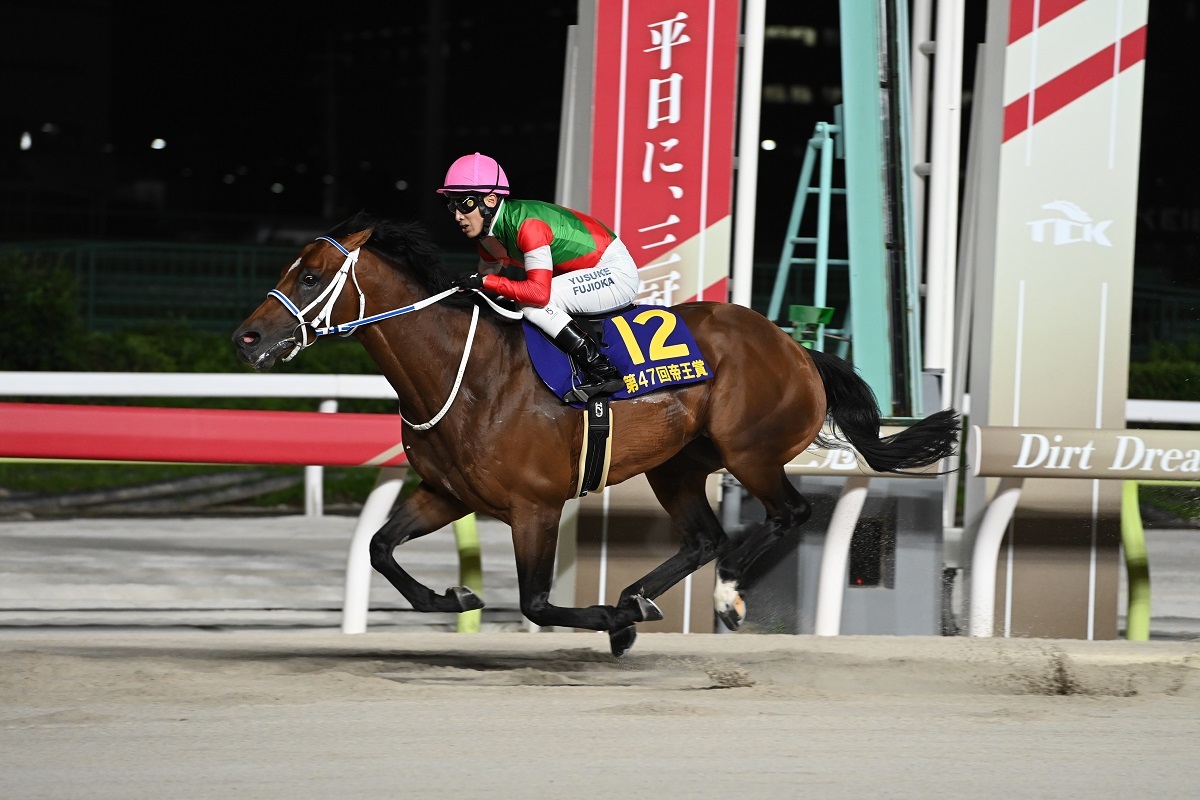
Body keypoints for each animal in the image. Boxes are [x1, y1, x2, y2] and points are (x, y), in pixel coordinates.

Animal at [234, 214, 960, 657]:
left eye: (310, 275)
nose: (247, 337)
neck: (464, 376)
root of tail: (795, 347)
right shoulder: (446, 492)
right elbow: (381, 547)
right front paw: (454, 596)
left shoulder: (534, 505)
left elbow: (536, 602)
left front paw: (611, 622)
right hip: (676, 465)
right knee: (705, 537)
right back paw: (639, 596)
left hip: (750, 451)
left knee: (788, 514)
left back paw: (720, 595)